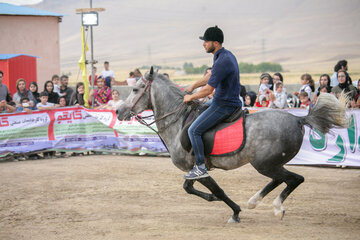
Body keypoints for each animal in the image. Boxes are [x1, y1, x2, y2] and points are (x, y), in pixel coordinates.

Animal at [117, 67, 348, 223]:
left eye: (136, 89)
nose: (119, 111)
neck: (178, 120)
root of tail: (299, 119)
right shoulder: (194, 169)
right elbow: (189, 188)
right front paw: (213, 199)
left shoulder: (199, 168)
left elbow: (217, 191)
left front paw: (234, 212)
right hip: (270, 163)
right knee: (280, 179)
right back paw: (255, 201)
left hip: (264, 164)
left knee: (294, 179)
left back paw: (276, 207)